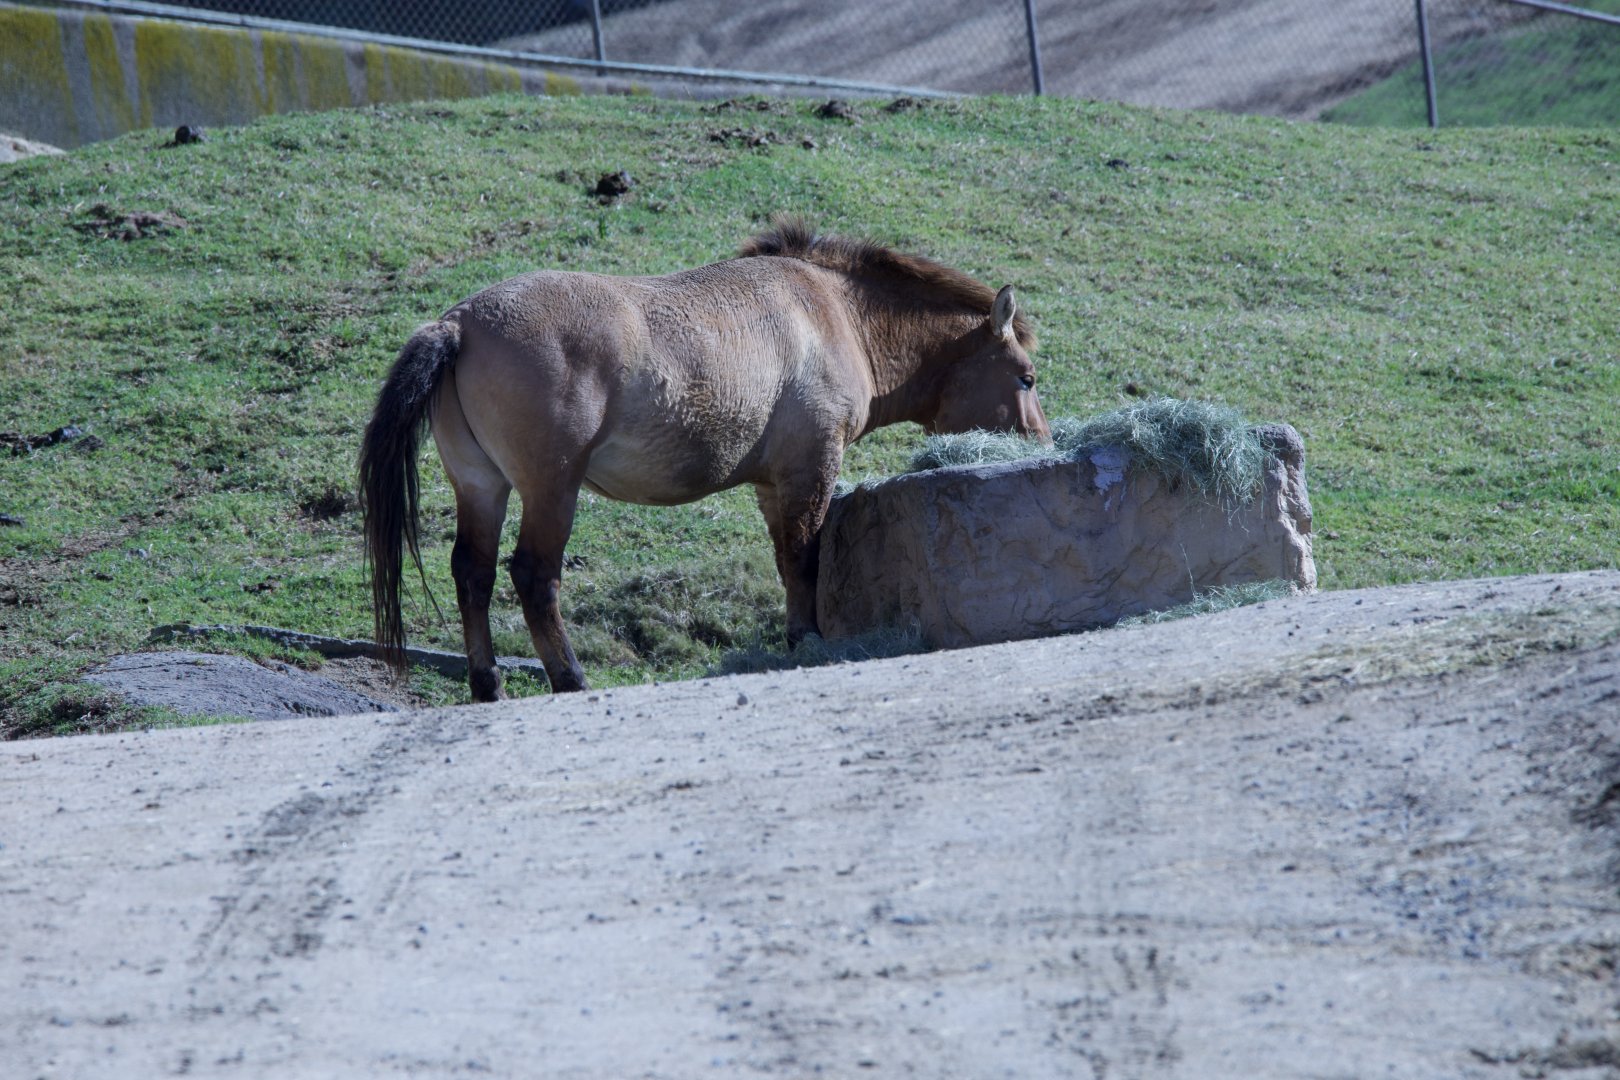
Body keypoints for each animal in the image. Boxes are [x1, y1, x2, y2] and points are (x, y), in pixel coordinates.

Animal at [359, 219, 1049, 700]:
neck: (832, 310)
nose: (1042, 445)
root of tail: (458, 324)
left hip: (483, 487)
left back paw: (488, 685)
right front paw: (807, 641)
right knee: (533, 576)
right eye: (1027, 378)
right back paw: (570, 679)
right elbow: (806, 557)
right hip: (551, 490)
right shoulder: (810, 469)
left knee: (472, 574)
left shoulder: (774, 484)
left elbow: (787, 561)